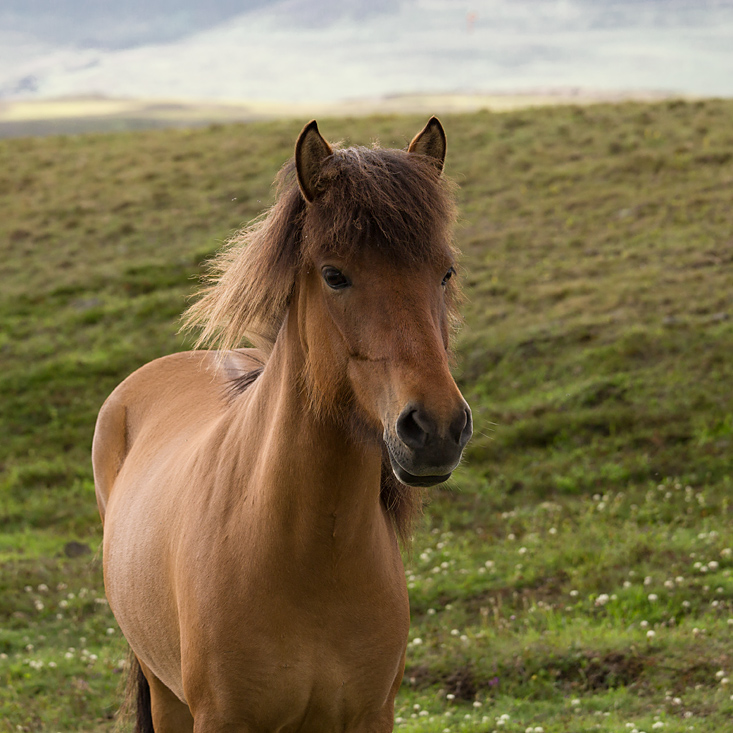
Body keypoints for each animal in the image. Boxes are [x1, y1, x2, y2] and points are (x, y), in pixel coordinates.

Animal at [92, 117, 472, 733]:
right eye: (335, 275)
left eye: (444, 272)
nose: (437, 428)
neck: (309, 556)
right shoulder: (221, 718)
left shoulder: (371, 716)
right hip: (166, 694)